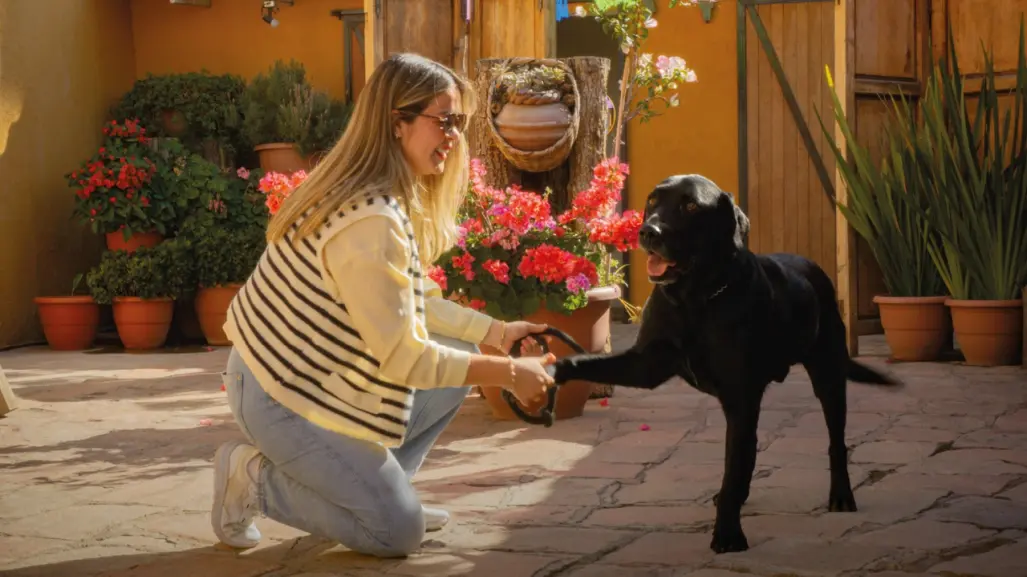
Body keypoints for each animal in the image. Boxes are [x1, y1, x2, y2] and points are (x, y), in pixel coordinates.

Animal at [554, 172, 899, 550]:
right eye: (652, 201)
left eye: (690, 206)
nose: (648, 231)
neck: (695, 300)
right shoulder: (646, 365)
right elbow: (590, 362)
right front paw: (556, 370)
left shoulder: (740, 396)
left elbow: (733, 470)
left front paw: (729, 535)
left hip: (828, 377)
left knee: (834, 442)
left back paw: (841, 495)